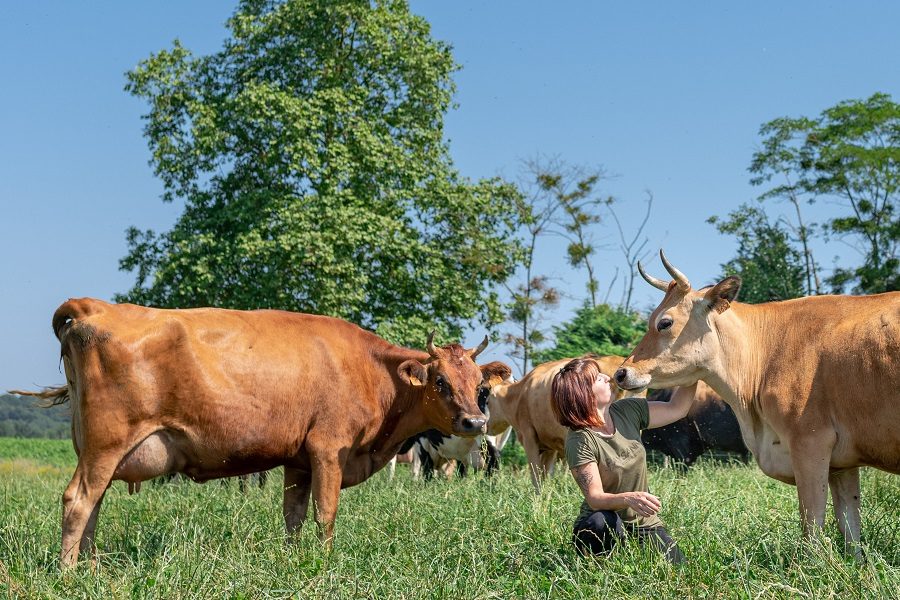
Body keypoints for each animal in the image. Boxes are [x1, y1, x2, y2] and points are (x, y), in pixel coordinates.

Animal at [15, 298, 507, 568]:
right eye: (440, 381)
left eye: (479, 385)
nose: (475, 423)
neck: (370, 371)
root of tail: (95, 306)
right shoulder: (328, 449)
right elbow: (325, 513)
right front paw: (324, 562)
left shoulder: (298, 458)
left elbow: (293, 515)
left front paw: (295, 560)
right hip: (107, 442)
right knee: (79, 501)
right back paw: (68, 573)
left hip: (97, 449)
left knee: (93, 504)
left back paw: (91, 569)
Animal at [486, 355, 642, 493]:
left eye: (487, 401)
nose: (486, 427)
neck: (519, 395)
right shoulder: (549, 446)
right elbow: (545, 474)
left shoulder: (529, 437)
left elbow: (536, 475)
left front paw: (537, 498)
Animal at [614, 250, 900, 556]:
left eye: (665, 322)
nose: (621, 373)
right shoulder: (843, 462)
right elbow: (850, 527)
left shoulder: (810, 443)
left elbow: (812, 523)